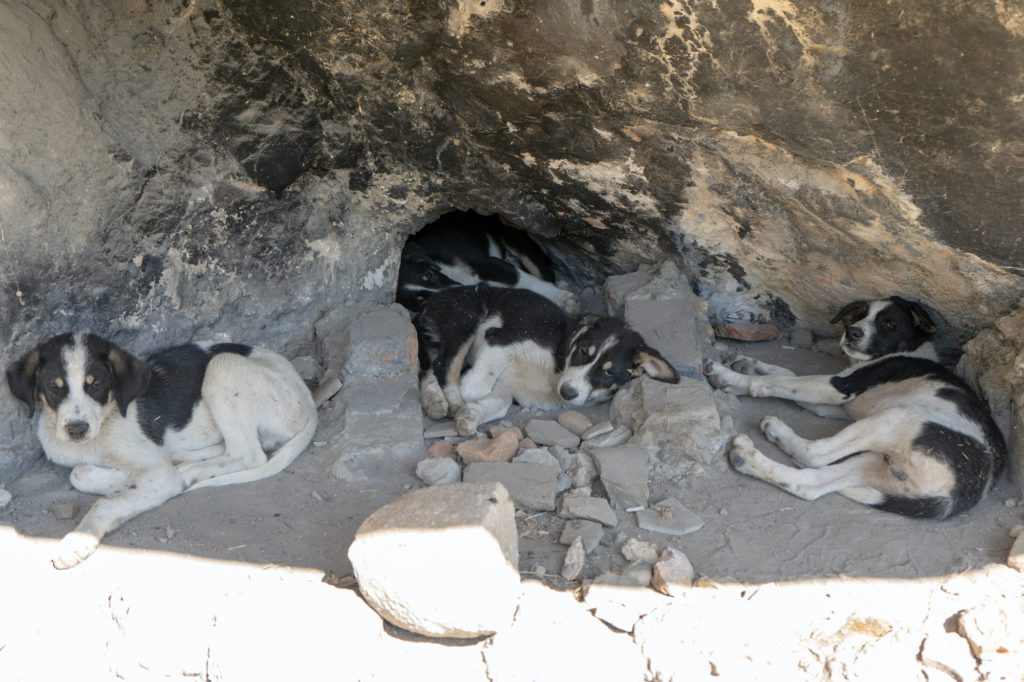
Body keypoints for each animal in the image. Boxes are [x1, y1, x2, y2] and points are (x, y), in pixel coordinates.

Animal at [6, 331, 339, 565]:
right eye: (54, 388)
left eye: (96, 384)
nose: (76, 429)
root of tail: (308, 401)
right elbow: (79, 473)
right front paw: (116, 478)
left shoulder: (156, 473)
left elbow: (107, 501)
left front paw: (77, 540)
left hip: (224, 365)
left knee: (249, 455)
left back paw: (188, 472)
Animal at [415, 282, 679, 432]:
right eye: (583, 351)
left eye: (609, 372)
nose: (568, 393)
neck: (555, 370)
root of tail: (431, 300)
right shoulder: (499, 339)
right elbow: (475, 386)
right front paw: (464, 402)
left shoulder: (507, 386)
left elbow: (499, 402)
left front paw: (470, 415)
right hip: (466, 319)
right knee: (442, 364)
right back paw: (449, 400)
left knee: (431, 368)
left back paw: (434, 400)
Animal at [704, 294, 1007, 518]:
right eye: (861, 315)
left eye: (890, 324)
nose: (853, 332)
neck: (907, 350)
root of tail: (959, 496)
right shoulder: (841, 406)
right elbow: (787, 376)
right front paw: (750, 365)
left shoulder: (839, 388)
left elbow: (778, 381)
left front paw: (732, 377)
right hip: (875, 463)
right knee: (811, 484)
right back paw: (749, 459)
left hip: (900, 418)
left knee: (815, 455)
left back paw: (775, 435)